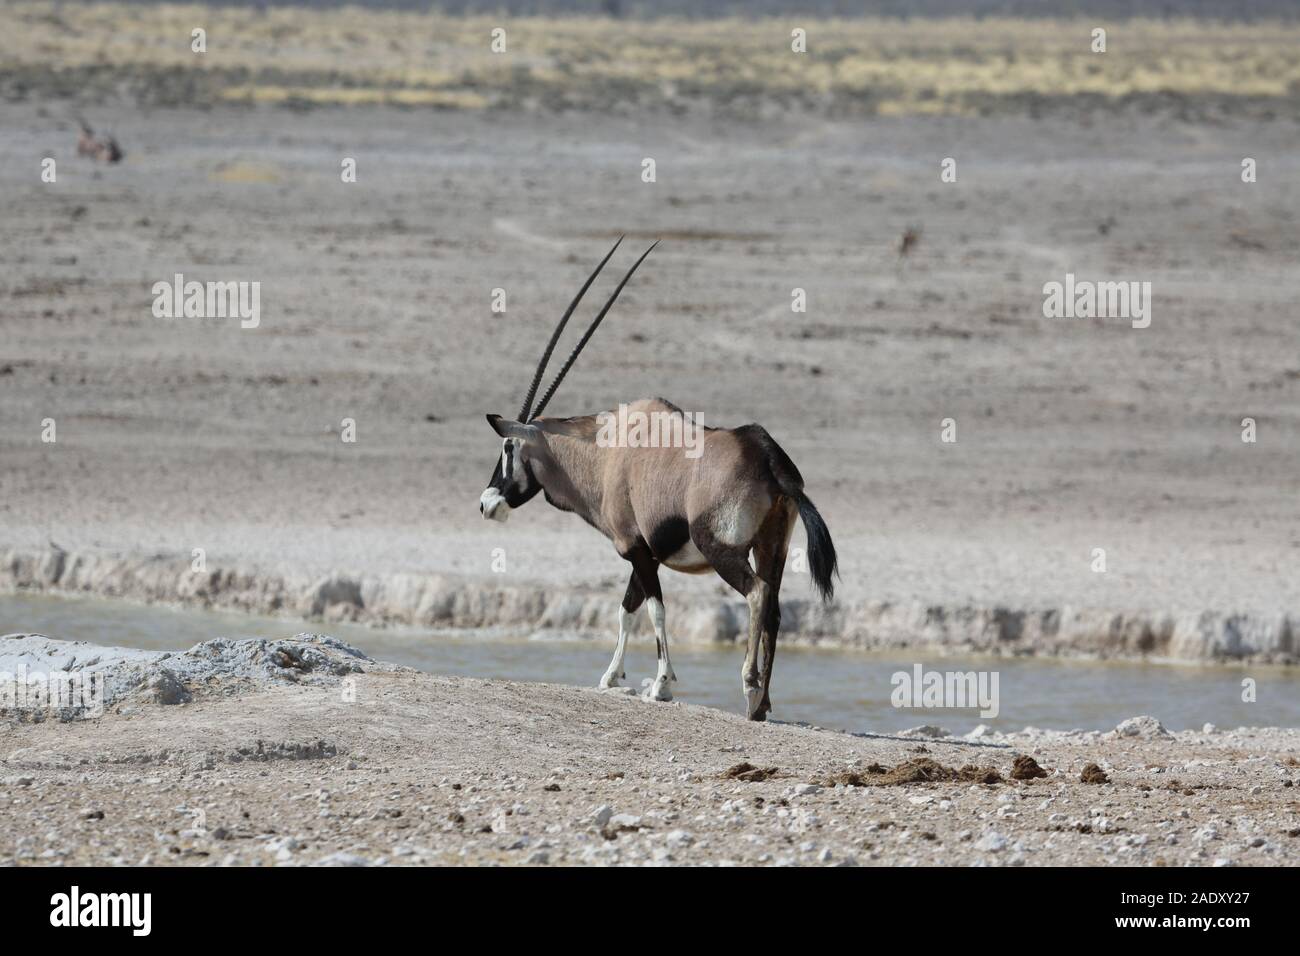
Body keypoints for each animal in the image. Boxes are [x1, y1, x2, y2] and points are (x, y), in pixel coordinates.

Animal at [483, 238, 837, 717]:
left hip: (722, 548)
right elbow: (626, 608)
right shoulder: (642, 553)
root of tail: (768, 455)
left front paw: (661, 685)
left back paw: (749, 687)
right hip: (772, 547)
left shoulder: (635, 549)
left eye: (507, 448)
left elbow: (654, 609)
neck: (606, 452)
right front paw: (611, 677)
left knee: (757, 595)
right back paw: (761, 705)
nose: (486, 503)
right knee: (775, 608)